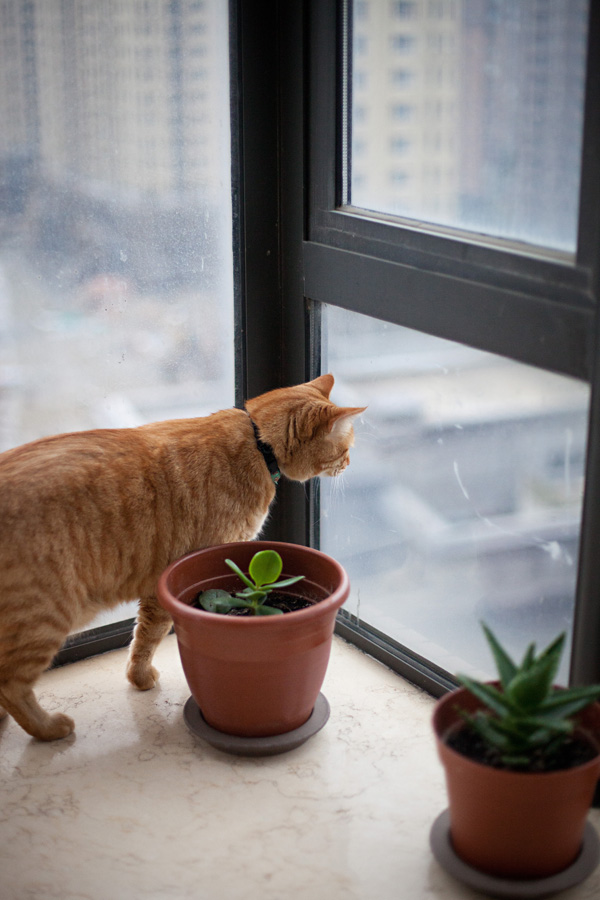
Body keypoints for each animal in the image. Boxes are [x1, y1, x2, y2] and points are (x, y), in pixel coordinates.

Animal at [0, 374, 365, 740]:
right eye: (346, 449)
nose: (350, 463)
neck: (258, 444)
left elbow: (143, 635)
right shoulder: (170, 580)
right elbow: (150, 637)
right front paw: (141, 678)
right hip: (44, 618)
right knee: (12, 687)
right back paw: (49, 727)